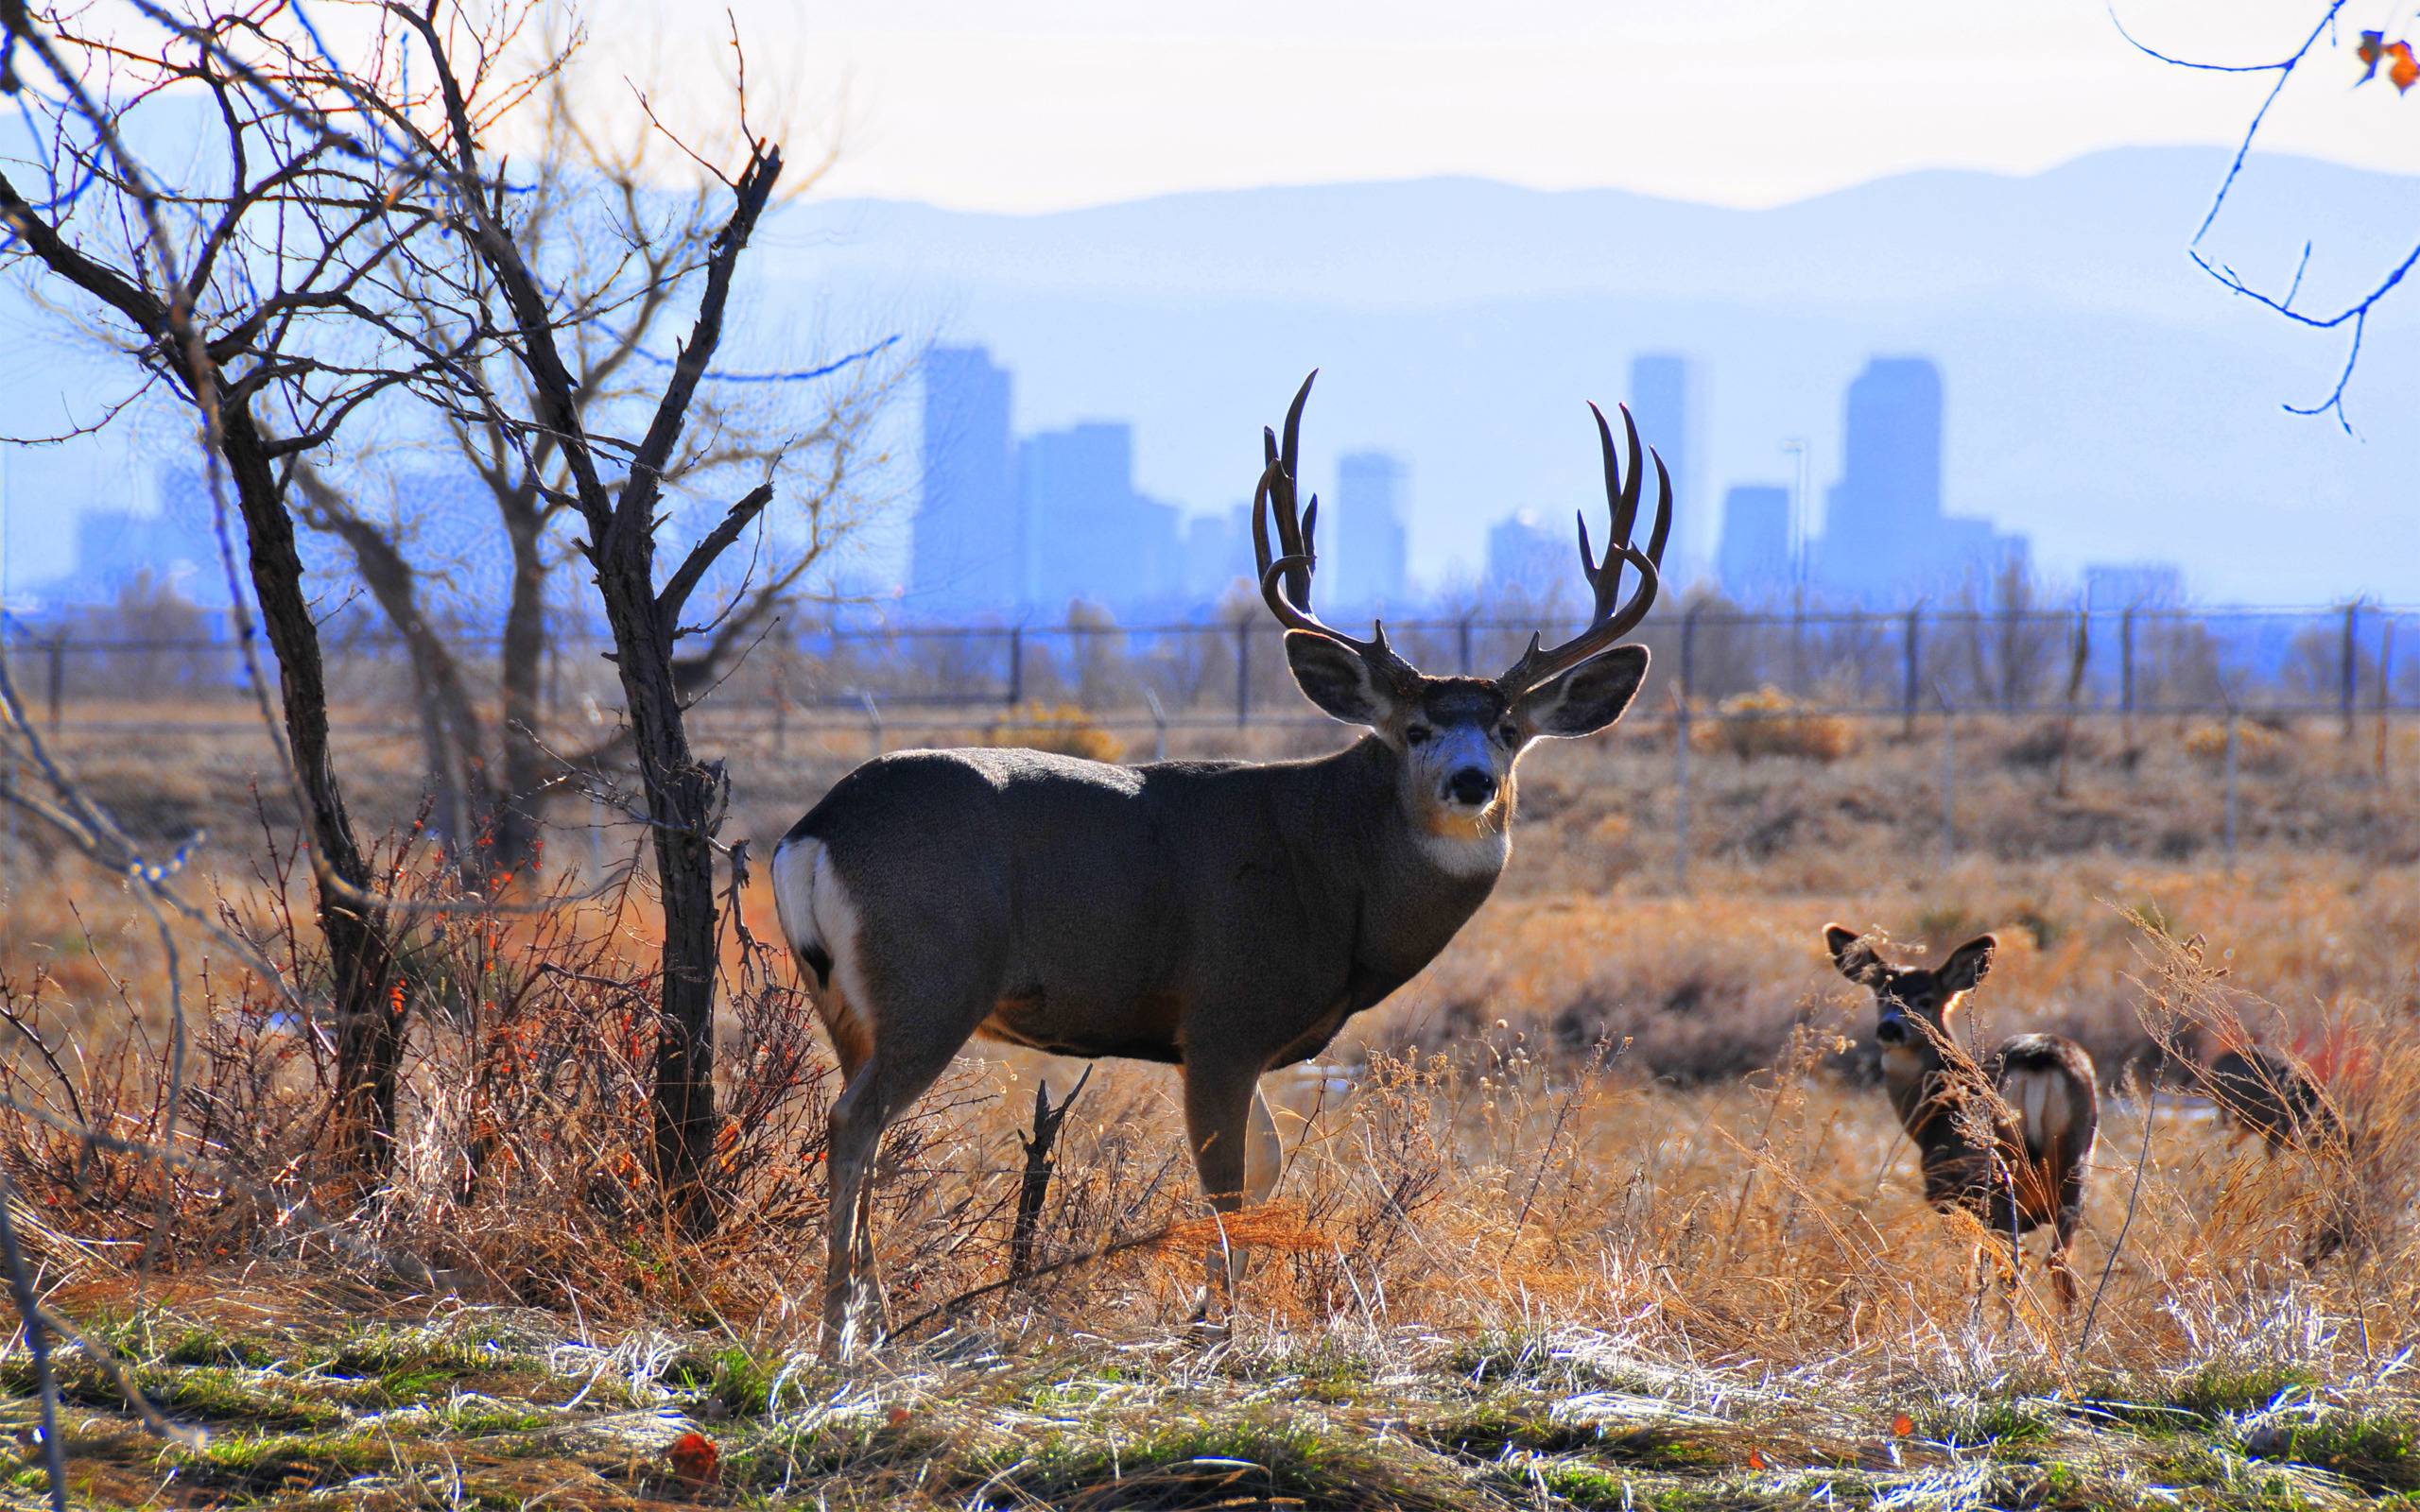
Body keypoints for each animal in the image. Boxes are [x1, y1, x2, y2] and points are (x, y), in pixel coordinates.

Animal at [773, 372, 1672, 1355]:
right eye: (1414, 729)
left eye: (1510, 730)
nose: (1472, 781)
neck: (1335, 870)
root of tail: (815, 829)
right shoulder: (1222, 1017)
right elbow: (1229, 1183)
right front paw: (1221, 1327)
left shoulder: (1246, 1039)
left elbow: (1268, 1167)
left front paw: (1215, 1313)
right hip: (932, 976)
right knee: (856, 1121)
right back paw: (840, 1331)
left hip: (843, 1001)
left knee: (861, 1125)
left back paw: (874, 1319)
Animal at [1824, 926, 2099, 1308]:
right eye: (1882, 995)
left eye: (1925, 999)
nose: (1890, 1029)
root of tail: (2039, 1057)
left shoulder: (1948, 1194)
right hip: (2076, 1165)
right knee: (2060, 1266)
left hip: (1994, 1177)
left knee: (2013, 1268)